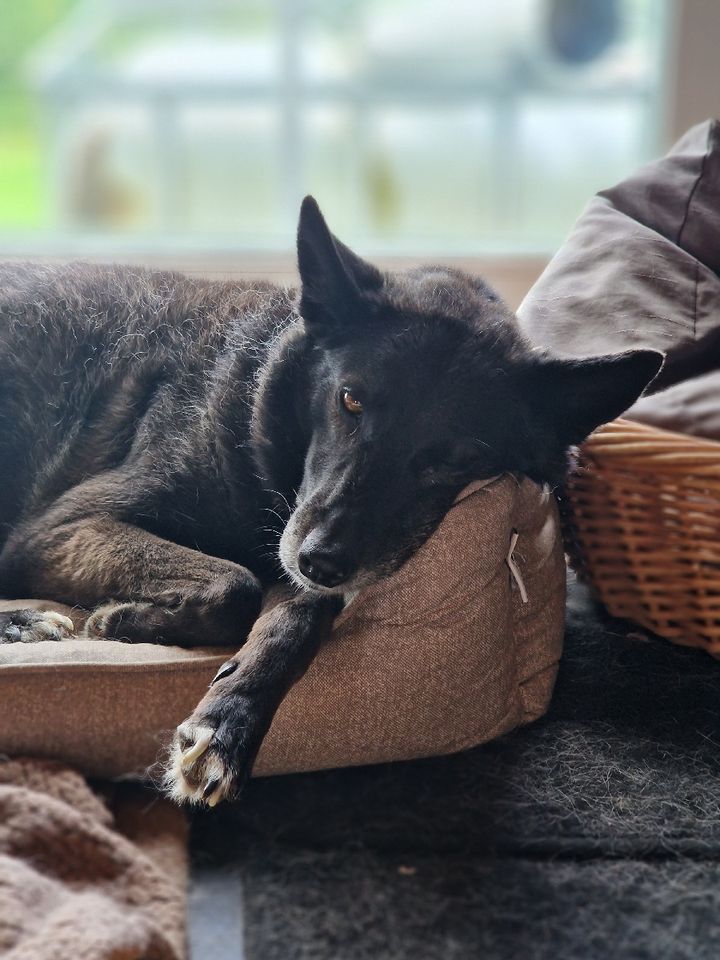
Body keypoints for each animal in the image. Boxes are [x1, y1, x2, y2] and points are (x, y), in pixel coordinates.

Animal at [0, 199, 660, 808]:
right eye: (350, 400)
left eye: (454, 458)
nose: (321, 562)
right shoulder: (59, 528)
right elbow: (237, 582)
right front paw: (121, 620)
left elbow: (294, 613)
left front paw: (228, 720)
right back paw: (27, 622)